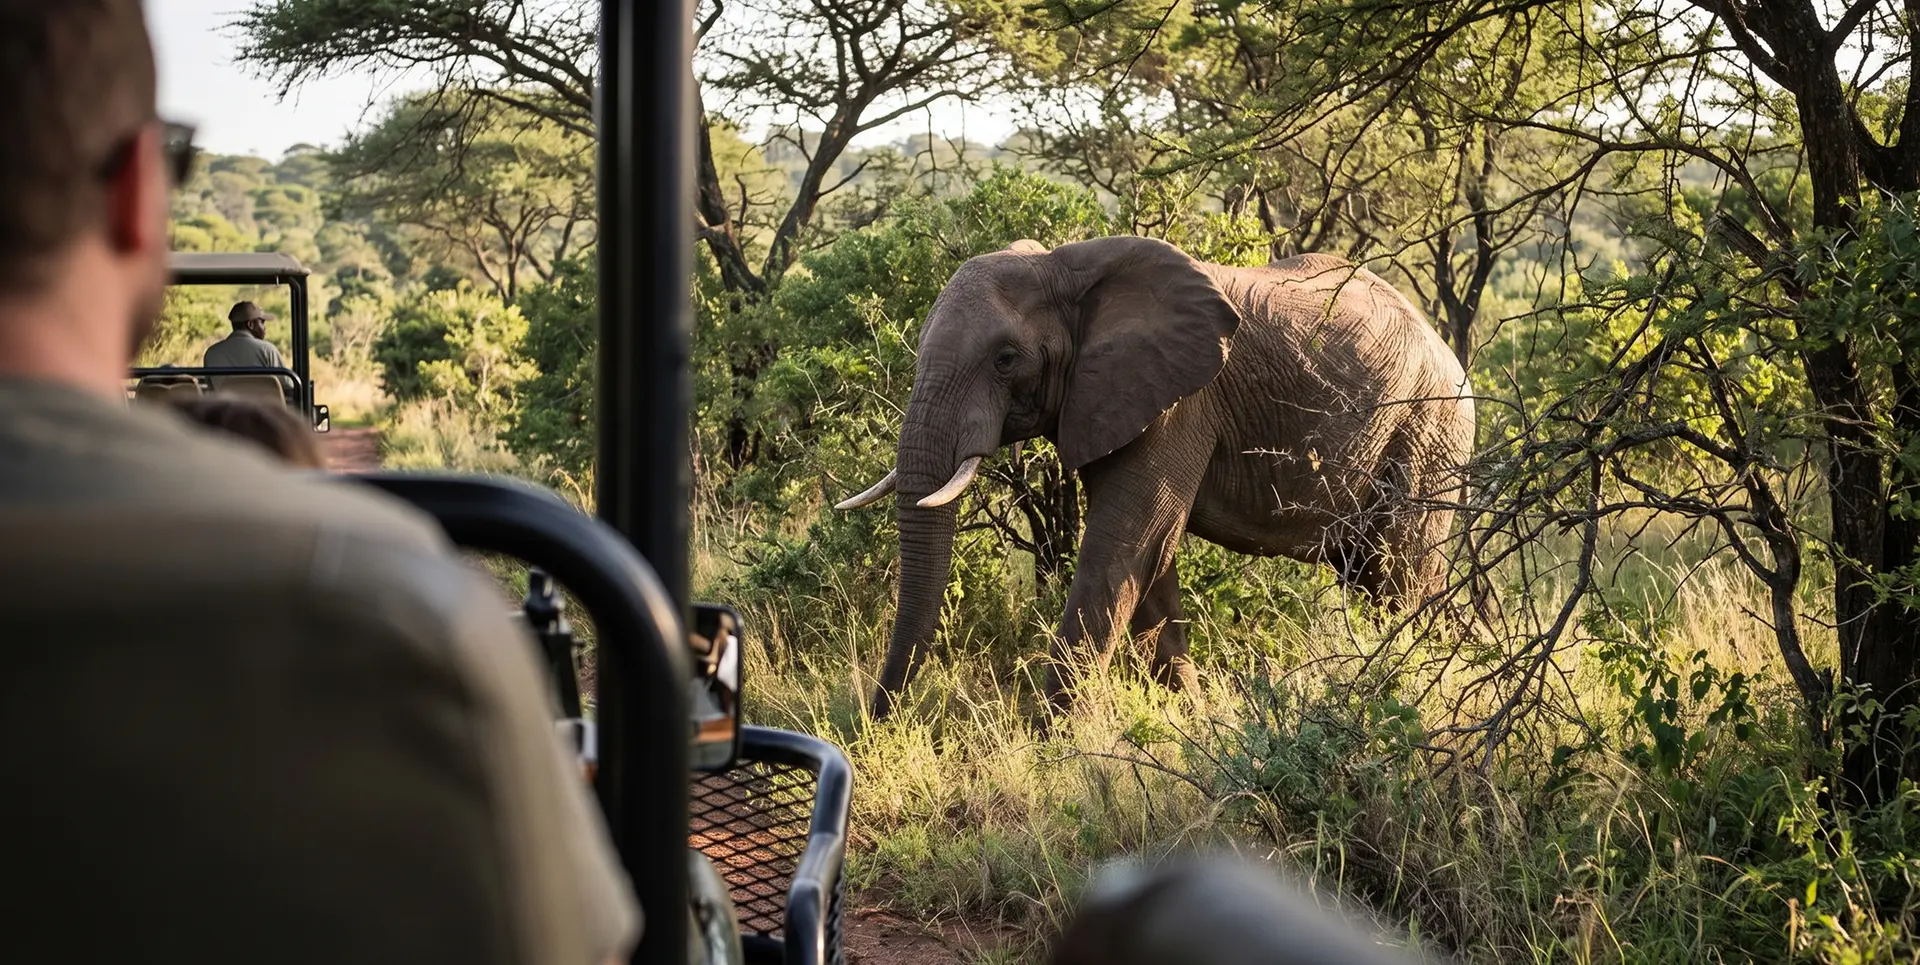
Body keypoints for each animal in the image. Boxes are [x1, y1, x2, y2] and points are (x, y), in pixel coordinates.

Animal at [834, 236, 1476, 720]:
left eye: (1005, 360)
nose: (875, 725)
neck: (1064, 266)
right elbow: (1151, 556)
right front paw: (1192, 717)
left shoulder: (1180, 404)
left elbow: (1126, 543)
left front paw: (1051, 741)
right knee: (1375, 574)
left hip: (1428, 431)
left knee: (1401, 574)